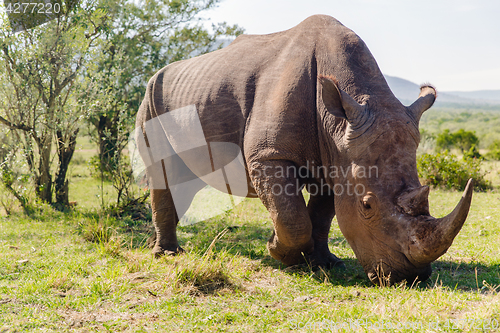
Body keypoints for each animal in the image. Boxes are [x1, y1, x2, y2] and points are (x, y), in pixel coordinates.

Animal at [136, 14, 472, 282]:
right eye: (367, 206)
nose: (409, 277)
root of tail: (157, 74)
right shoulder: (268, 156)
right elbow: (293, 218)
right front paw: (279, 251)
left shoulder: (337, 156)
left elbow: (322, 216)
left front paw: (324, 262)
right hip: (151, 97)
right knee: (164, 173)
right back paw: (166, 254)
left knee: (184, 181)